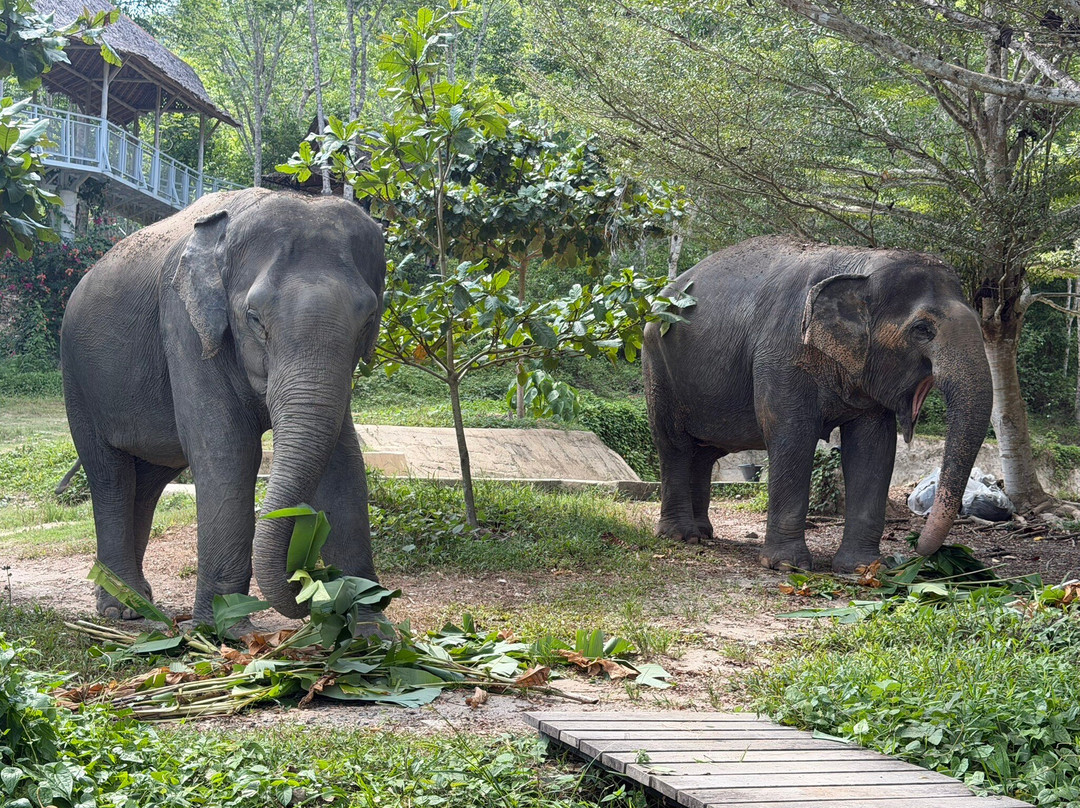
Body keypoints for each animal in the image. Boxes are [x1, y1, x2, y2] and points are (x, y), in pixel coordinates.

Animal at [60, 187, 385, 625]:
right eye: (254, 318)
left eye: (368, 320)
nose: (307, 581)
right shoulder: (183, 324)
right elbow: (228, 453)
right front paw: (224, 630)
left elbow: (343, 461)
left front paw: (372, 629)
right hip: (78, 379)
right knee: (110, 475)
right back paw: (120, 608)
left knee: (148, 482)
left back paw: (140, 598)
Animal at [642, 236, 993, 572]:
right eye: (922, 329)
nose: (916, 548)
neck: (861, 261)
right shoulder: (782, 353)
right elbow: (792, 435)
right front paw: (785, 565)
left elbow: (873, 447)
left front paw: (863, 568)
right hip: (657, 364)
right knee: (674, 444)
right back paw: (681, 536)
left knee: (703, 453)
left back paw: (704, 533)